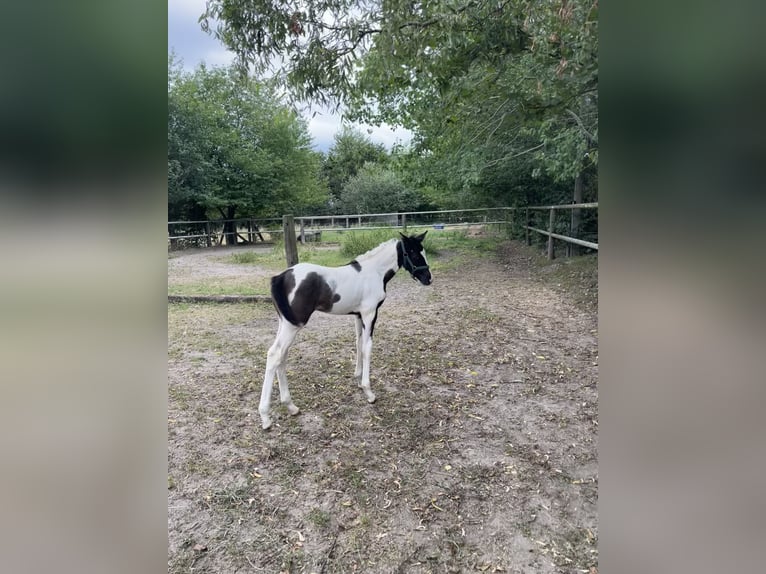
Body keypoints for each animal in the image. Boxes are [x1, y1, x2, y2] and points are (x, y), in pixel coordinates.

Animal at [260, 232, 432, 430]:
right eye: (414, 254)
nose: (428, 278)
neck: (375, 272)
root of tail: (280, 277)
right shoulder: (370, 314)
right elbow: (367, 348)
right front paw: (368, 392)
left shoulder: (358, 315)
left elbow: (358, 343)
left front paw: (358, 379)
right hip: (293, 325)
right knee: (275, 354)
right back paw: (265, 417)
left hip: (285, 322)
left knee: (282, 356)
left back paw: (291, 406)